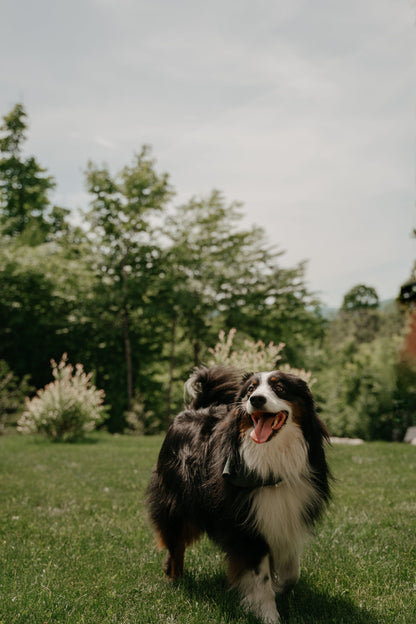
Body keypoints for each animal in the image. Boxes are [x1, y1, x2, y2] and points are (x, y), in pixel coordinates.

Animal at [148, 366, 330, 624]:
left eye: (279, 387)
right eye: (251, 390)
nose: (256, 400)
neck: (271, 460)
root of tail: (192, 409)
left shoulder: (287, 519)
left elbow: (291, 572)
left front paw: (280, 588)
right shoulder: (246, 527)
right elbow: (260, 578)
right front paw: (268, 615)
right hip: (175, 504)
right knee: (176, 544)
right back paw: (176, 580)